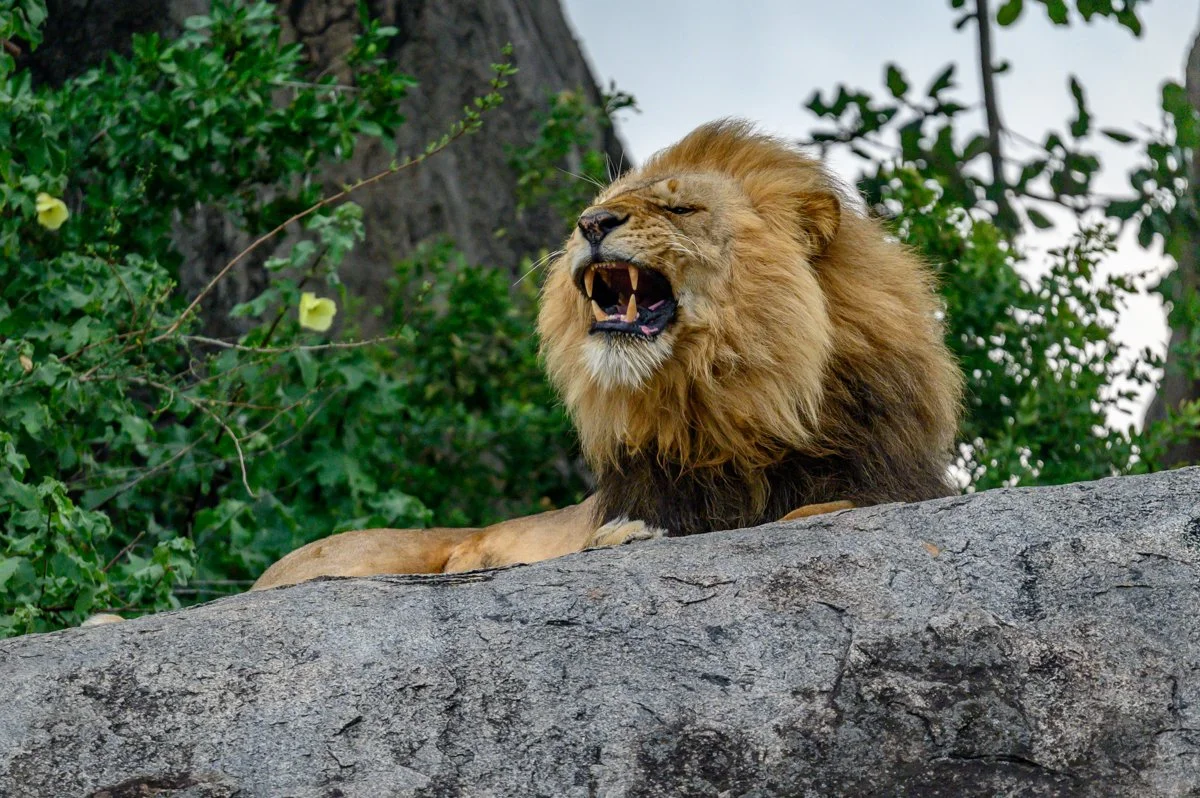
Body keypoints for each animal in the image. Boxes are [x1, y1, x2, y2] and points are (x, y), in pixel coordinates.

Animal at [252, 119, 962, 591]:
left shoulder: (888, 484)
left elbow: (818, 509)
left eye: (680, 207)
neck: (729, 408)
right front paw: (624, 535)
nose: (591, 224)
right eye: (598, 209)